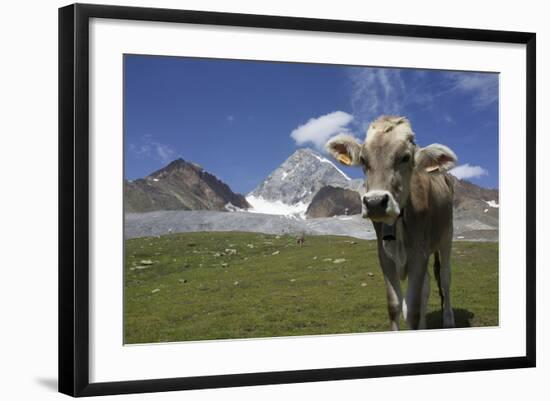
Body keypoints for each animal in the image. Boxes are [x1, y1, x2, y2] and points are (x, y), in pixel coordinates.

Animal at [328, 115, 458, 328]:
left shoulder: (419, 254)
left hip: (447, 236)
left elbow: (412, 310)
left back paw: (448, 319)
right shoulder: (384, 256)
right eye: (363, 159)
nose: (375, 202)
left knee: (446, 278)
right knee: (427, 286)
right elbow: (395, 305)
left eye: (405, 157)